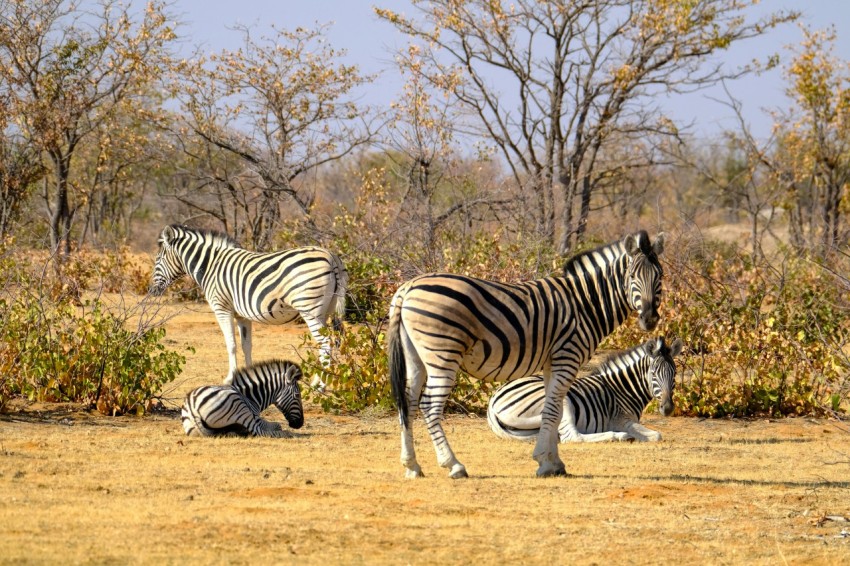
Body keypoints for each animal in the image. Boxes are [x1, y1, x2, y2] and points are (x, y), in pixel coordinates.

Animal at [151, 225, 346, 382]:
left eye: (158, 259)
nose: (151, 291)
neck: (211, 266)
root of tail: (331, 256)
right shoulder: (242, 315)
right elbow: (246, 346)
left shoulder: (222, 309)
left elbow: (231, 344)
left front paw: (230, 378)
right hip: (327, 310)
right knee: (330, 343)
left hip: (310, 310)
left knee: (325, 344)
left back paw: (319, 386)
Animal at [486, 338, 680, 444]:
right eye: (654, 373)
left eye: (675, 373)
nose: (668, 408)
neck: (622, 389)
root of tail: (493, 402)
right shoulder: (620, 420)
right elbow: (657, 435)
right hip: (561, 401)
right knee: (573, 436)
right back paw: (620, 436)